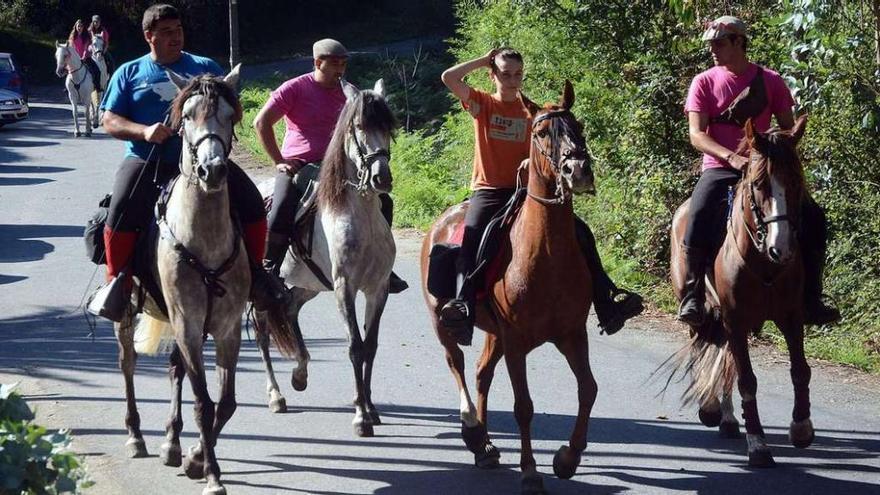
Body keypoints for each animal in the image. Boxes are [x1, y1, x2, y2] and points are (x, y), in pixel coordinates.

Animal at [420, 82, 600, 495]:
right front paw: (531, 472)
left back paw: (485, 445)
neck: (546, 254)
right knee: (457, 364)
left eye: (578, 126)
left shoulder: (573, 334)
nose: (578, 170)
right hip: (443, 323)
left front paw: (568, 458)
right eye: (541, 132)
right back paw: (473, 431)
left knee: (482, 373)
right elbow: (524, 406)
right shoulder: (517, 341)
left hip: (494, 333)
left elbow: (588, 389)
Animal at [672, 116, 816, 468]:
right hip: (701, 310)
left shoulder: (791, 317)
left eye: (796, 181)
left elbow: (800, 370)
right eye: (759, 184)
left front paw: (801, 428)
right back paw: (713, 408)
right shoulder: (735, 320)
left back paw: (726, 419)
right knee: (705, 346)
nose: (782, 249)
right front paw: (759, 446)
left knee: (725, 358)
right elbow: (747, 379)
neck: (764, 263)